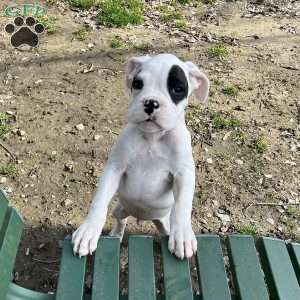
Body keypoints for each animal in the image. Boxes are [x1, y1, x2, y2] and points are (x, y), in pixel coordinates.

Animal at [72, 52, 210, 258]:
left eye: (177, 89)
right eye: (138, 84)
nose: (151, 102)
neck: (152, 138)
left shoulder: (183, 173)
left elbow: (182, 205)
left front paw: (183, 235)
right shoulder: (114, 168)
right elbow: (99, 200)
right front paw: (88, 230)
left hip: (162, 221)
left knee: (164, 228)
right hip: (120, 209)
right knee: (121, 220)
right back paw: (116, 235)